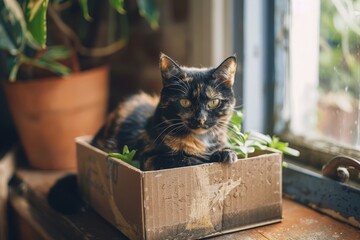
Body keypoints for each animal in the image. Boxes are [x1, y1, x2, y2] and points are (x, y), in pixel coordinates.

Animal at [93, 54, 238, 171]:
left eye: (214, 102)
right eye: (185, 102)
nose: (200, 119)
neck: (202, 139)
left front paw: (227, 153)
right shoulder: (150, 159)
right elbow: (186, 159)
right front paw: (214, 156)